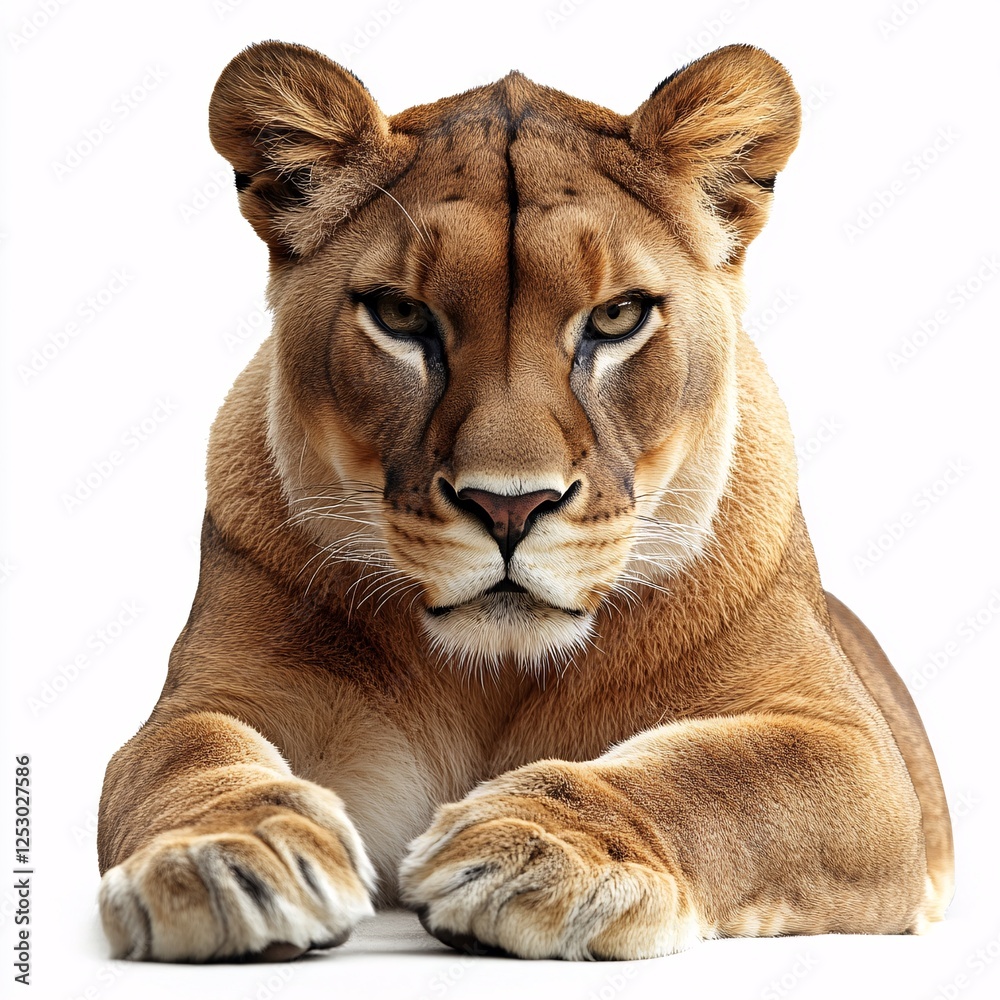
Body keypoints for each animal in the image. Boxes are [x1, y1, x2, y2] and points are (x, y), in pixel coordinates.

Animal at [96, 41, 954, 962]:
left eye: (617, 317)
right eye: (401, 315)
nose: (509, 508)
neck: (495, 679)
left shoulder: (852, 749)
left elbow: (719, 779)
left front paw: (534, 850)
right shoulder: (219, 692)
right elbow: (184, 755)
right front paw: (225, 857)